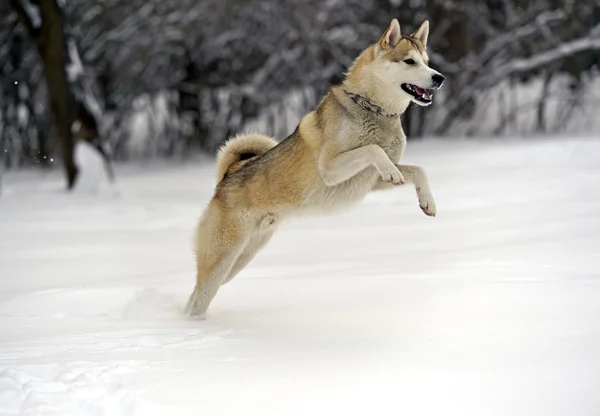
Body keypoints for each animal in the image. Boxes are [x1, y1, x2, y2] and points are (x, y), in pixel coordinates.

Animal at [188, 18, 446, 318]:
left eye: (427, 61)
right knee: (198, 297)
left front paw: (428, 203)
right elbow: (374, 150)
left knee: (194, 295)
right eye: (409, 61)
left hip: (242, 258)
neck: (373, 110)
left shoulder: (371, 181)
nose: (439, 78)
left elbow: (418, 169)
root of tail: (224, 180)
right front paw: (392, 170)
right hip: (223, 259)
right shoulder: (332, 169)